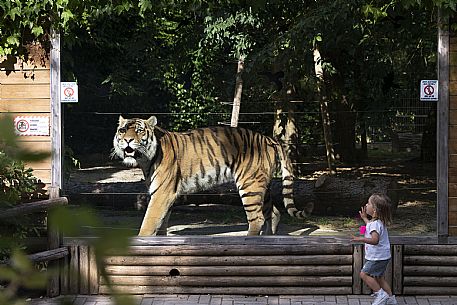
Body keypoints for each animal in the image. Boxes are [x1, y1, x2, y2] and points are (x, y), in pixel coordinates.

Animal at [112, 114, 312, 235]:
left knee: (257, 218)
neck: (145, 161)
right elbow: (161, 224)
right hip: (262, 185)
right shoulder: (165, 195)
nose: (127, 140)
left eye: (139, 131)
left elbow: (149, 222)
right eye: (122, 130)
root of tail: (268, 138)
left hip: (250, 185)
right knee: (274, 212)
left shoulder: (162, 194)